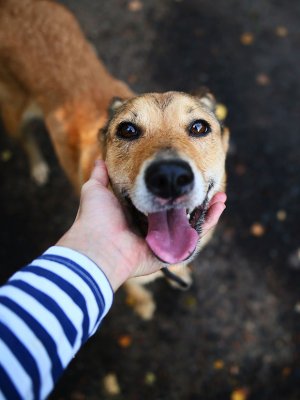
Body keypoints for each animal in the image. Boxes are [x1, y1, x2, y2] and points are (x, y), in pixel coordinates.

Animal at [0, 0, 230, 318]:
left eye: (199, 127)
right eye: (127, 130)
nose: (169, 177)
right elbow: (135, 291)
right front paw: (144, 305)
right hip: (13, 111)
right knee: (24, 138)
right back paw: (38, 166)